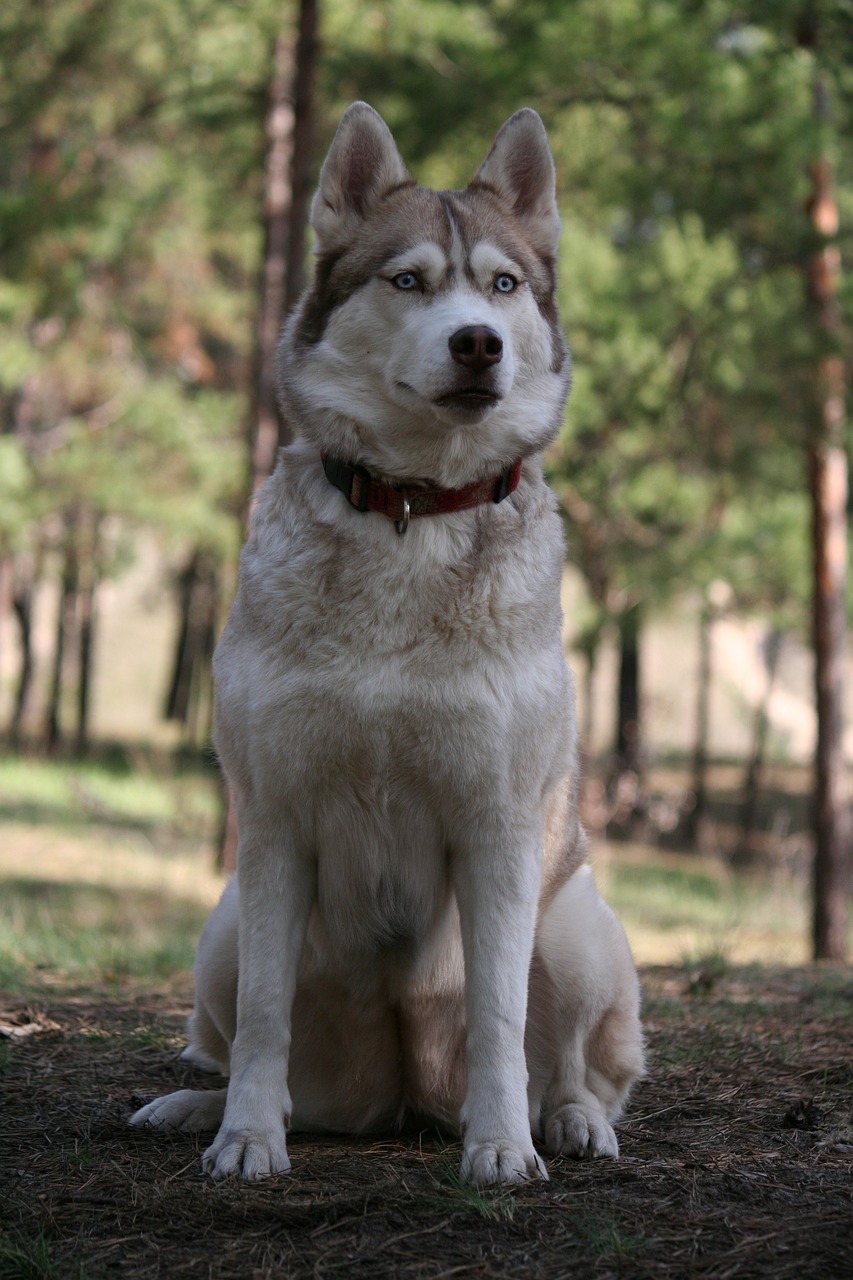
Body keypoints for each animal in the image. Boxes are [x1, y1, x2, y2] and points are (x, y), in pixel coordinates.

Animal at [129, 102, 640, 1187]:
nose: (478, 342)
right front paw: (247, 1137)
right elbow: (265, 1019)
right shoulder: (273, 820)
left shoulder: (497, 828)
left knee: (579, 1065)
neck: (411, 508)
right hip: (222, 928)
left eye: (501, 284)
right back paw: (201, 1106)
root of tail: (402, 1095)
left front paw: (502, 1147)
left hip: (580, 929)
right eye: (408, 280)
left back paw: (569, 1122)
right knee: (249, 1049)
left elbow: (500, 1016)